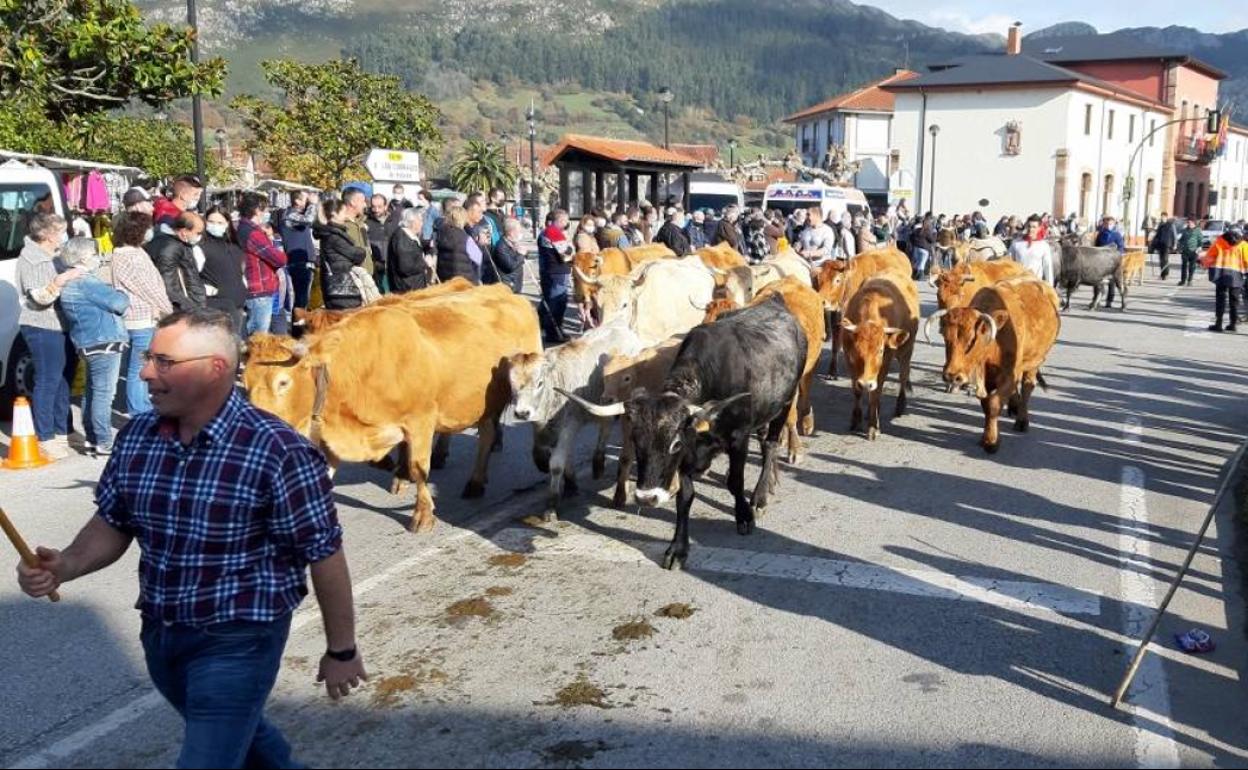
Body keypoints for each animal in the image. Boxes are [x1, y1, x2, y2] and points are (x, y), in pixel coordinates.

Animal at [240, 285, 539, 531]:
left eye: (283, 382)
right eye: (245, 385)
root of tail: (506, 291)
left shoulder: (421, 419)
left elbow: (419, 468)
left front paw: (423, 514)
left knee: (487, 435)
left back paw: (475, 480)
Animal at [559, 294, 808, 571]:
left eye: (674, 444)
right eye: (636, 440)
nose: (646, 498)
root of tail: (776, 302)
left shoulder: (738, 437)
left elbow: (735, 481)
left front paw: (744, 516)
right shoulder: (687, 457)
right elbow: (685, 498)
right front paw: (678, 549)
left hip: (786, 401)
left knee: (771, 444)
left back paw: (761, 496)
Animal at [813, 245, 913, 379]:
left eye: (837, 280)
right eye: (818, 279)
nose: (822, 301)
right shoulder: (837, 318)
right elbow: (835, 345)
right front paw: (832, 371)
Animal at [838, 273, 918, 439]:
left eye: (881, 350)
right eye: (856, 350)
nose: (866, 384)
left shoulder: (884, 364)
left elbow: (875, 394)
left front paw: (874, 427)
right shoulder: (849, 361)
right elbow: (857, 392)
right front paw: (856, 420)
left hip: (907, 350)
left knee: (903, 376)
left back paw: (899, 406)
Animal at [928, 275, 1063, 454]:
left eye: (972, 339)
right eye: (945, 336)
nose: (952, 375)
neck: (995, 343)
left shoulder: (1009, 375)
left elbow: (993, 404)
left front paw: (991, 441)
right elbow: (986, 404)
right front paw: (986, 436)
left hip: (1035, 361)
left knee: (1027, 386)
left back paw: (1022, 420)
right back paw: (1014, 406)